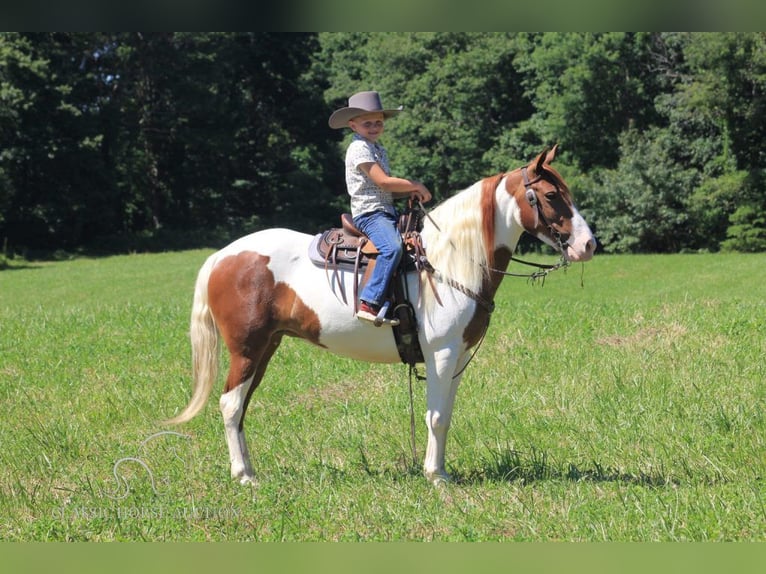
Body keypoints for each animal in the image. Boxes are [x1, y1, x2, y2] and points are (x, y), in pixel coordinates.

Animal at [166, 146, 600, 484]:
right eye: (550, 194)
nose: (589, 245)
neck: (450, 261)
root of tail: (222, 256)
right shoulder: (442, 353)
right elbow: (436, 416)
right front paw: (435, 476)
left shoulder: (457, 357)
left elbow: (444, 415)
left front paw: (441, 470)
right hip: (247, 348)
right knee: (230, 404)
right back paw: (244, 476)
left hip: (265, 347)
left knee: (240, 406)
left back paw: (249, 470)